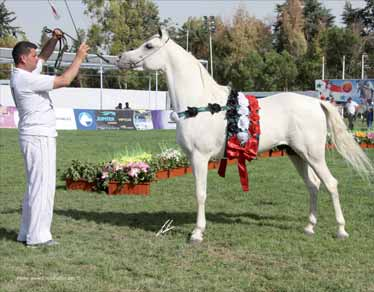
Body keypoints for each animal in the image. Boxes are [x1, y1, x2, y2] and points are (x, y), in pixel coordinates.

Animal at [116, 28, 372, 243]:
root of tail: (316, 102)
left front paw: (197, 233)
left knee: (330, 184)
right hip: (296, 154)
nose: (119, 58)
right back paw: (309, 226)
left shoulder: (200, 157)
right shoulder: (192, 157)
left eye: (149, 46)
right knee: (313, 185)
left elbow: (200, 194)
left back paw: (341, 230)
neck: (201, 104)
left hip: (314, 155)